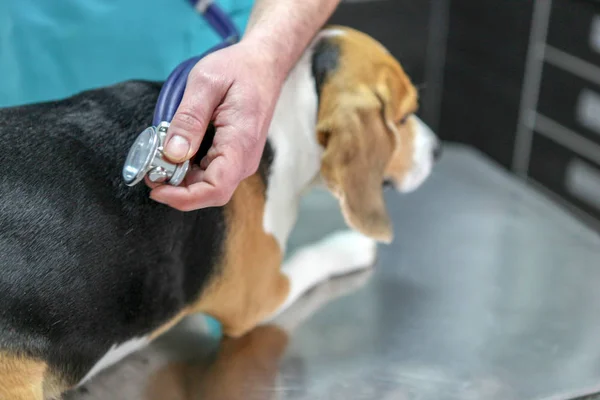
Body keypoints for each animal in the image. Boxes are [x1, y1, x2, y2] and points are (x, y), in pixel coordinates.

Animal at [0, 26, 440, 398]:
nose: (437, 150)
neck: (290, 111)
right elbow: (314, 257)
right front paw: (353, 245)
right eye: (402, 117)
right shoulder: (258, 296)